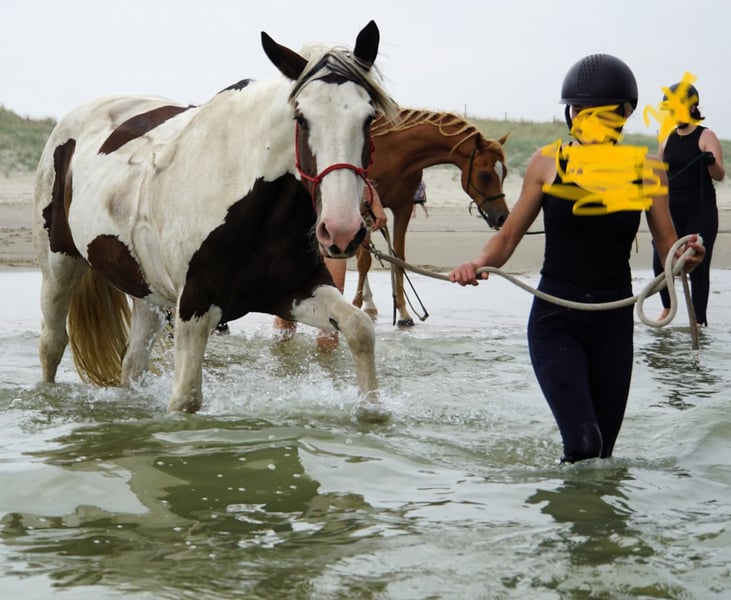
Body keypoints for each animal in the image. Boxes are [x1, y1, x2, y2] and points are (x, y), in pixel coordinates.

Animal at [32, 21, 398, 420]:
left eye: (369, 118)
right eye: (301, 118)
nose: (342, 230)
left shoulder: (298, 292)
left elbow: (360, 329)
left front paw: (371, 414)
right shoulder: (194, 308)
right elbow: (186, 400)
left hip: (147, 291)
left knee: (133, 363)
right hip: (59, 265)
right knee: (52, 344)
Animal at [354, 108, 510, 325]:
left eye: (505, 173)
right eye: (485, 175)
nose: (503, 217)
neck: (393, 153)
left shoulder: (403, 208)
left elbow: (398, 257)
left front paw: (403, 312)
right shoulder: (363, 209)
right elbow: (364, 261)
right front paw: (355, 305)